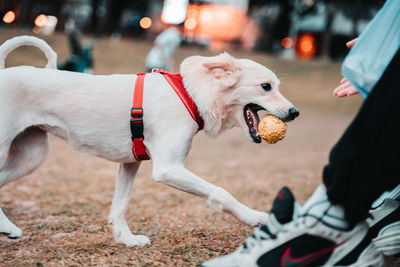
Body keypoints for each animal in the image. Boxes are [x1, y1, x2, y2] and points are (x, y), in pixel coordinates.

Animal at [0, 36, 298, 247]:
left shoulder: (130, 163)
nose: (295, 113)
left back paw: (7, 228)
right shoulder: (169, 168)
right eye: (266, 87)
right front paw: (256, 217)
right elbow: (220, 192)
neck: (189, 94)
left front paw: (127, 239)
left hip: (32, 155)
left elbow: (120, 205)